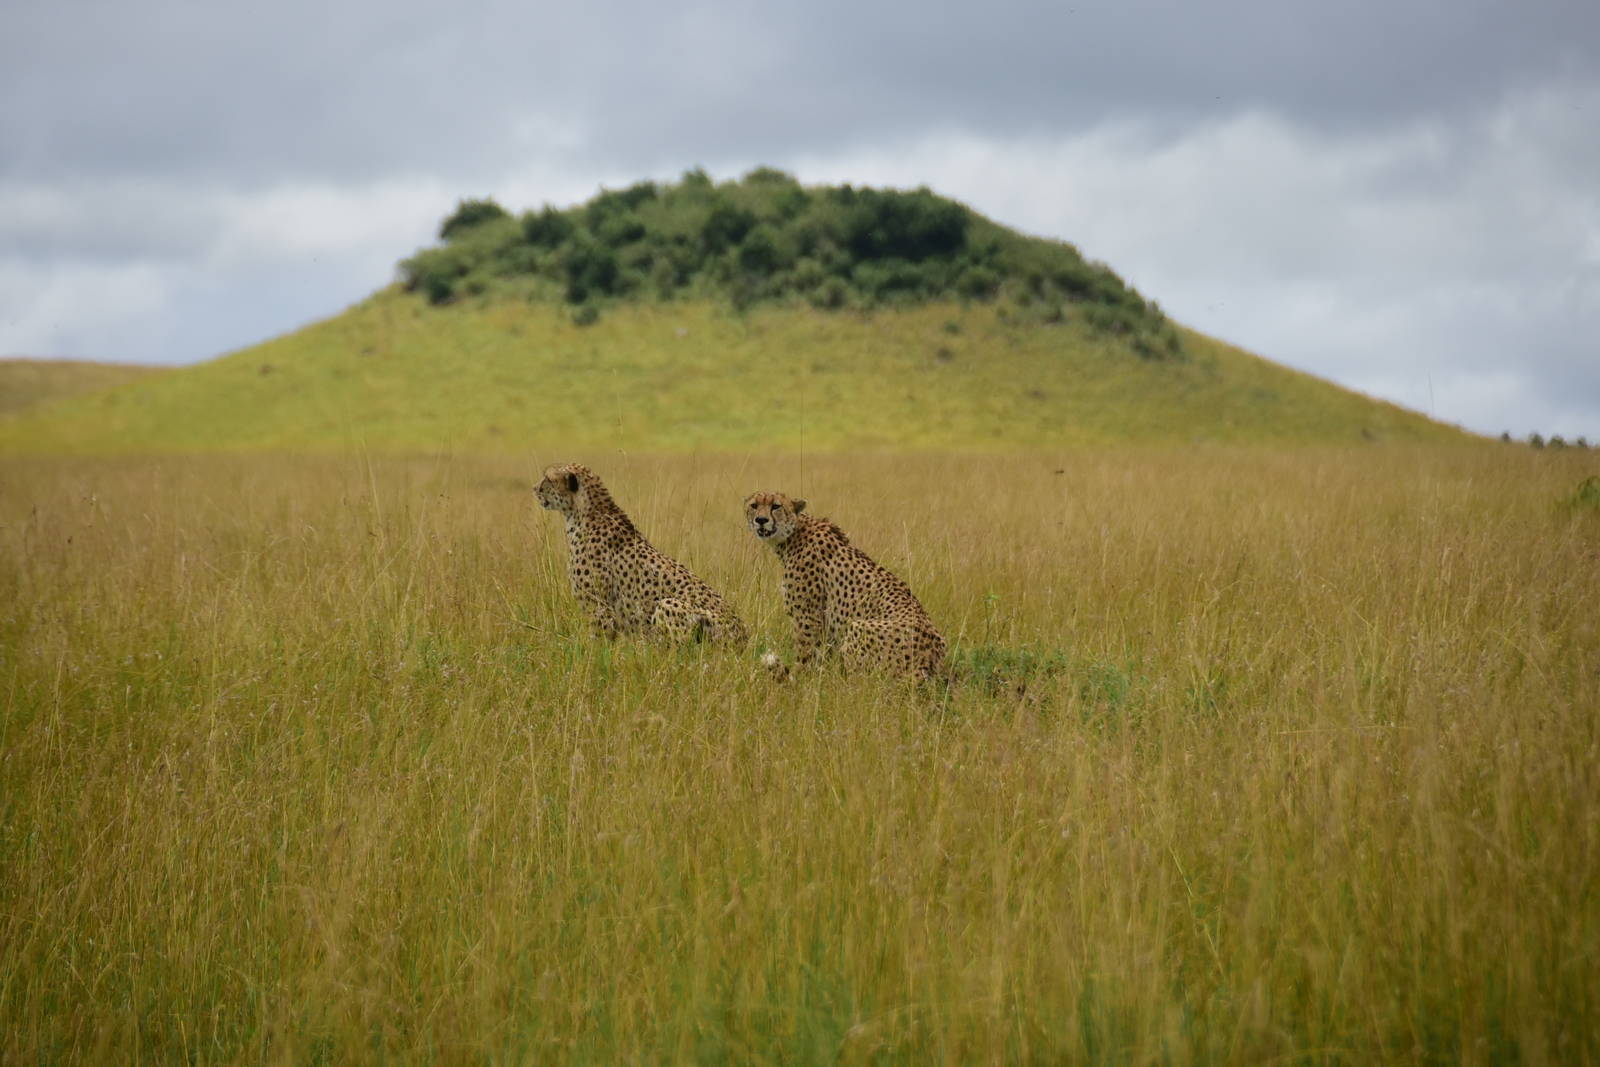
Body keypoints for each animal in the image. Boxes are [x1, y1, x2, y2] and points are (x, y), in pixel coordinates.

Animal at [536, 463, 746, 645]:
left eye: (547, 479)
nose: (534, 489)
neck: (583, 513)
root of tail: (742, 636)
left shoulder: (599, 609)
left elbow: (598, 645)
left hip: (667, 605)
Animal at [744, 491, 946, 681]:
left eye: (776, 506)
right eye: (754, 505)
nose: (761, 520)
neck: (794, 534)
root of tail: (932, 660)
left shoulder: (807, 617)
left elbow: (805, 654)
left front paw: (799, 679)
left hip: (857, 627)